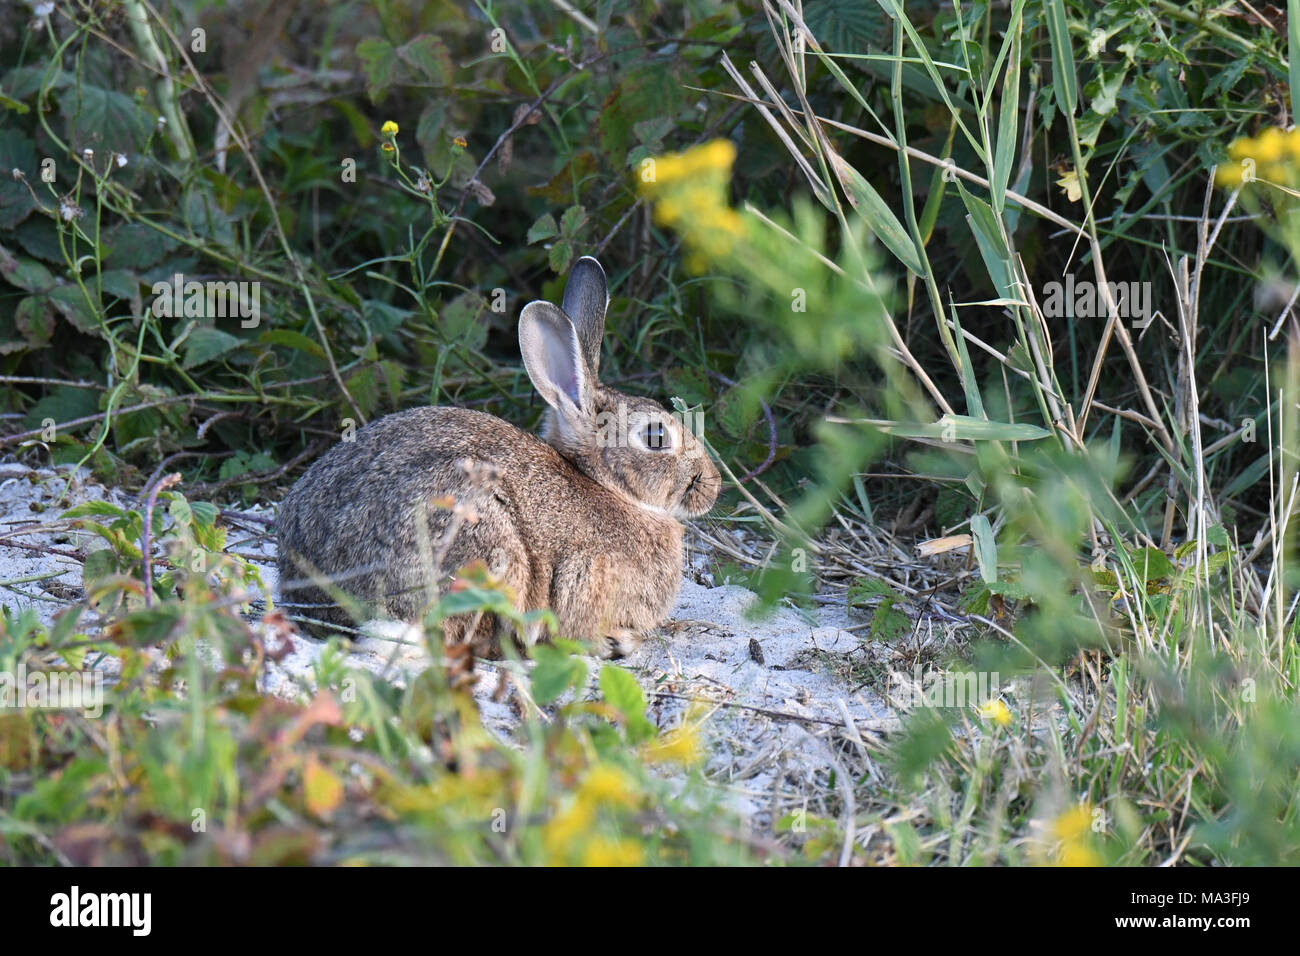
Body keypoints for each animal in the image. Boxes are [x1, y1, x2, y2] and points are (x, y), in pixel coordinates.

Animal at [276, 254, 722, 658]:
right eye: (656, 436)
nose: (712, 486)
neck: (605, 484)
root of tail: (321, 601)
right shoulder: (584, 575)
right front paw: (612, 640)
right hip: (482, 545)